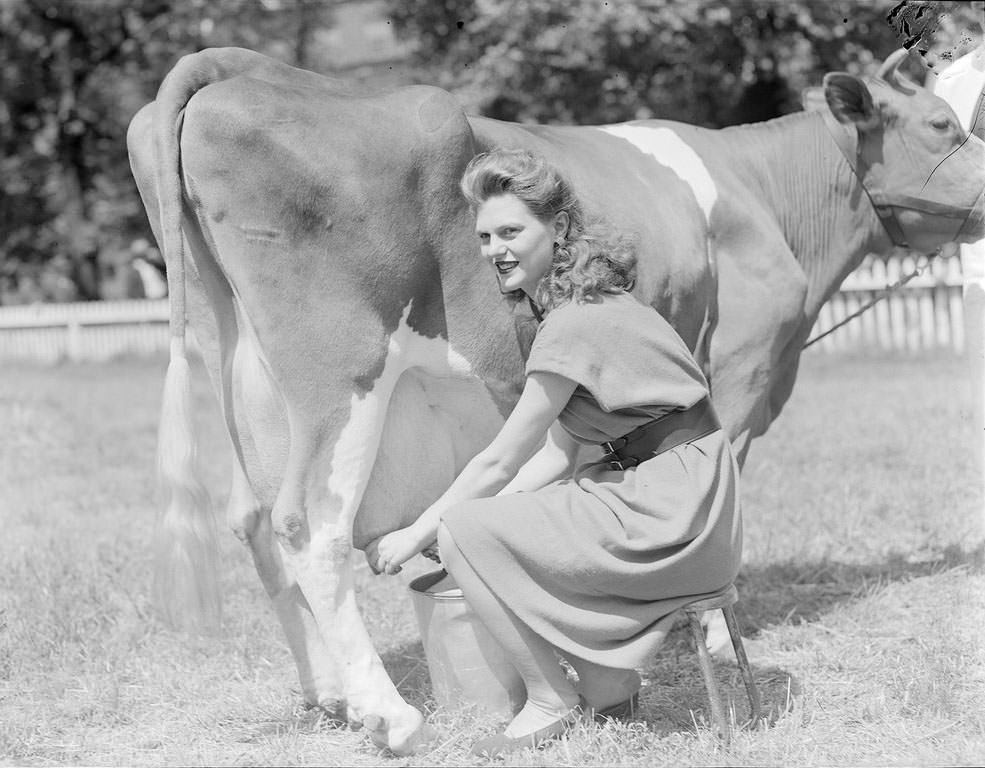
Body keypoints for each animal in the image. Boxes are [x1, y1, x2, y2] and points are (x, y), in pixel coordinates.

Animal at [127, 45, 984, 752]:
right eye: (943, 125)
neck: (764, 194)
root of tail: (239, 69)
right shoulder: (744, 370)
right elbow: (725, 494)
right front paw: (708, 630)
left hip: (235, 374)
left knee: (252, 522)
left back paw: (328, 697)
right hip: (340, 376)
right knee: (309, 525)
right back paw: (389, 717)